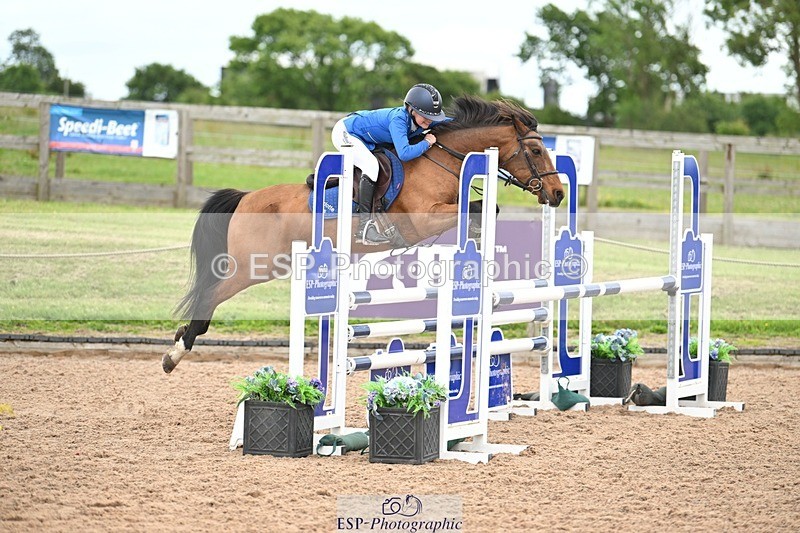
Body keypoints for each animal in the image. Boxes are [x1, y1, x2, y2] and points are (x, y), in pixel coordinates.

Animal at [162, 95, 564, 373]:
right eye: (535, 150)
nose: (558, 194)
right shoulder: (423, 220)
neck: (441, 160)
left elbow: (485, 208)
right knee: (210, 295)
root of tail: (246, 197)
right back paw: (175, 353)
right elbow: (478, 209)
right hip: (253, 267)